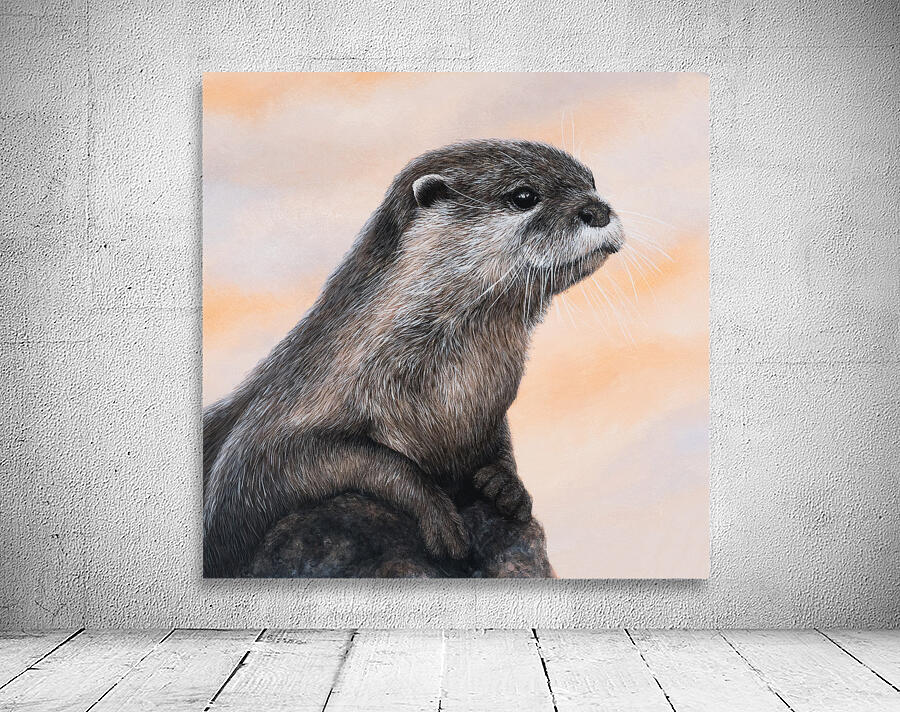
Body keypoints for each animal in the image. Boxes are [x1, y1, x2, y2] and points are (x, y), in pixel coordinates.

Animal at [203, 139, 624, 577]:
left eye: (591, 181)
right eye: (524, 196)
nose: (597, 210)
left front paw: (506, 485)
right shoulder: (265, 444)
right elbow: (365, 460)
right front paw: (438, 514)